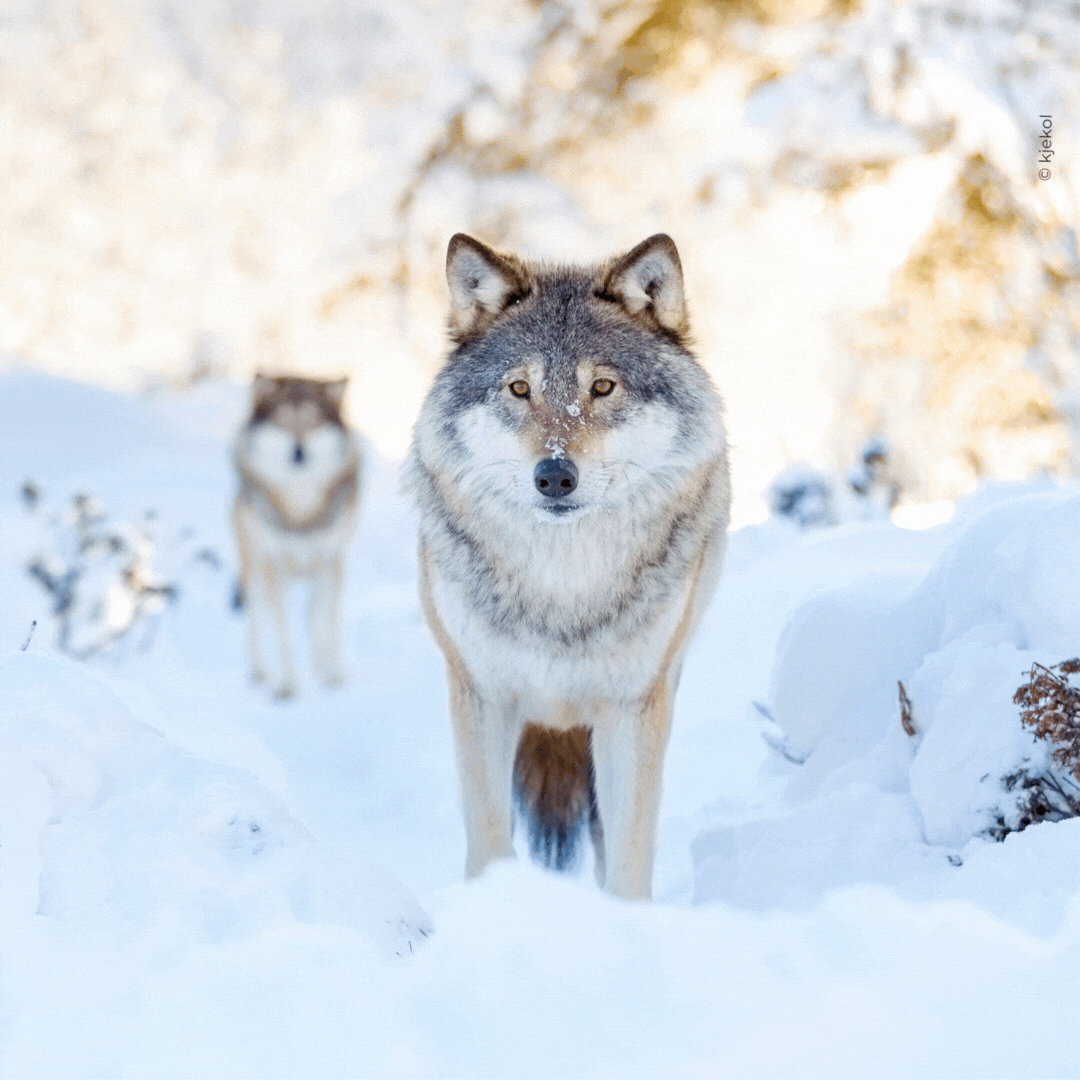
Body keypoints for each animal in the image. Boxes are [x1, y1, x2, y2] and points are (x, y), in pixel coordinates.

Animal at [233, 374, 360, 699]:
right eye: (282, 422)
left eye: (314, 422)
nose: (299, 452)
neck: (301, 509)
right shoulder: (273, 565)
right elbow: (283, 629)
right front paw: (287, 684)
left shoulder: (331, 560)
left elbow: (325, 622)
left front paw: (332, 675)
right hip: (254, 568)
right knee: (256, 618)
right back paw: (259, 671)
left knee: (313, 614)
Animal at [405, 233, 730, 900]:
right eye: (519, 389)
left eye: (602, 388)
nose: (554, 475)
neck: (562, 587)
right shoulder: (481, 695)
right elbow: (489, 838)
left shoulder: (633, 706)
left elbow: (628, 854)